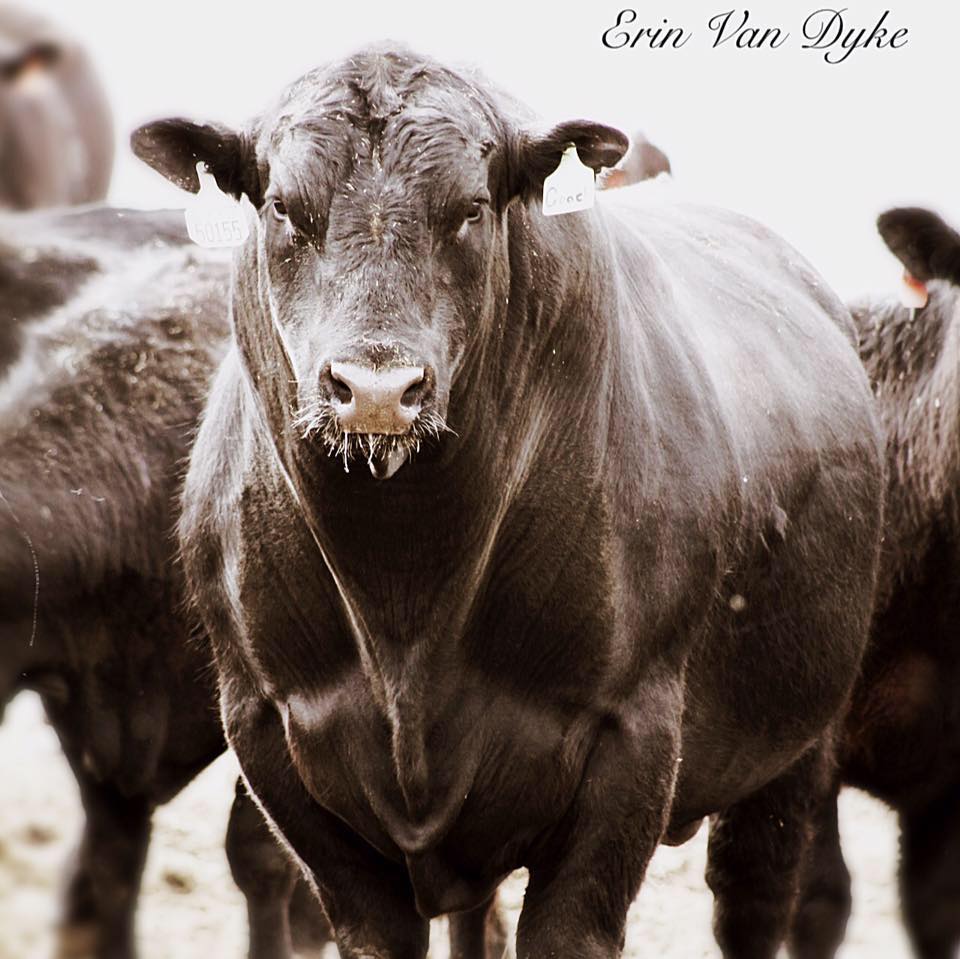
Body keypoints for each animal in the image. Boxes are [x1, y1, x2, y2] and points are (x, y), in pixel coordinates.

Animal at [133, 46, 885, 959]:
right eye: (283, 206)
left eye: (470, 207)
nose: (377, 390)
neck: (402, 585)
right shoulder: (268, 729)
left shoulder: (631, 735)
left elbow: (568, 928)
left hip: (797, 744)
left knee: (755, 899)